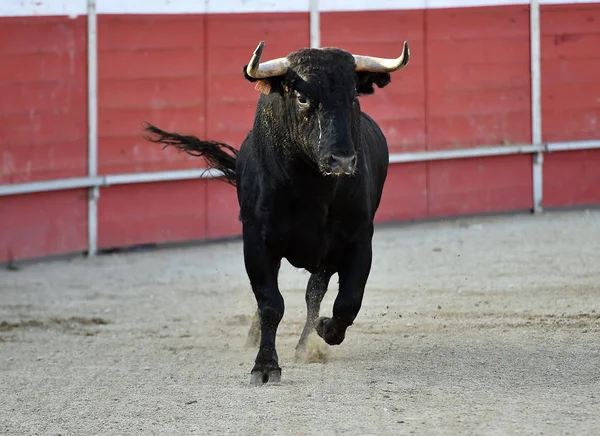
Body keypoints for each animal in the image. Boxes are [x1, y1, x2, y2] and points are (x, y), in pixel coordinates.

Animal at [143, 39, 410, 384]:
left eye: (353, 97)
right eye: (302, 97)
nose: (342, 160)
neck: (312, 188)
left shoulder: (359, 239)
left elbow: (347, 301)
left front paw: (324, 330)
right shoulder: (256, 239)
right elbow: (270, 303)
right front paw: (265, 365)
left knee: (315, 293)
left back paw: (305, 344)